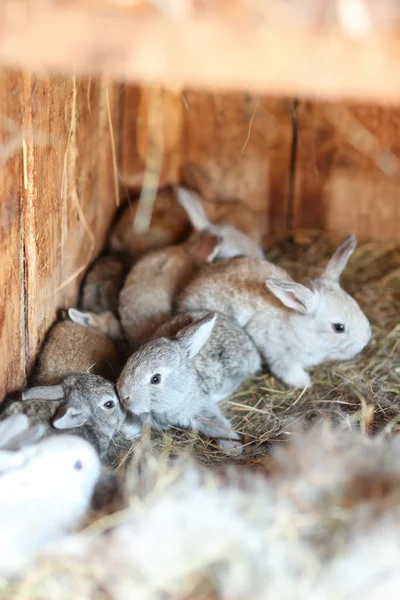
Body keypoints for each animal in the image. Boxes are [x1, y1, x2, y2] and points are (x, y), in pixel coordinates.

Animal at [115, 312, 262, 452]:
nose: (123, 396)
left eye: (155, 379)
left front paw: (233, 448)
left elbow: (216, 424)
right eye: (130, 360)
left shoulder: (200, 408)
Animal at [178, 234, 372, 390]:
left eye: (357, 306)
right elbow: (286, 369)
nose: (362, 345)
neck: (301, 329)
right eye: (339, 327)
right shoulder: (278, 354)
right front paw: (304, 382)